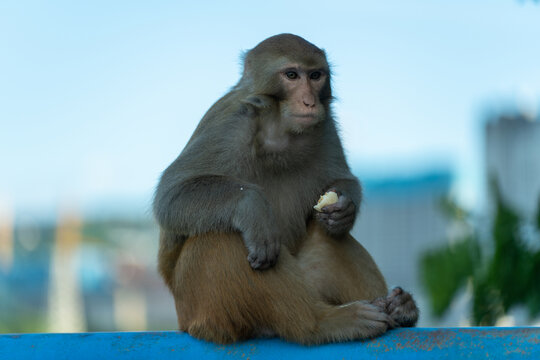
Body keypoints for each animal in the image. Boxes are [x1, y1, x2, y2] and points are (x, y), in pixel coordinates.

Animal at [152, 34, 418, 346]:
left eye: (315, 76)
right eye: (291, 75)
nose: (309, 101)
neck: (278, 127)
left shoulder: (325, 125)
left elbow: (342, 180)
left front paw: (344, 209)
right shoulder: (229, 123)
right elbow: (171, 195)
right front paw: (252, 208)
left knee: (326, 237)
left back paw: (399, 308)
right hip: (203, 312)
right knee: (220, 236)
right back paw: (322, 324)